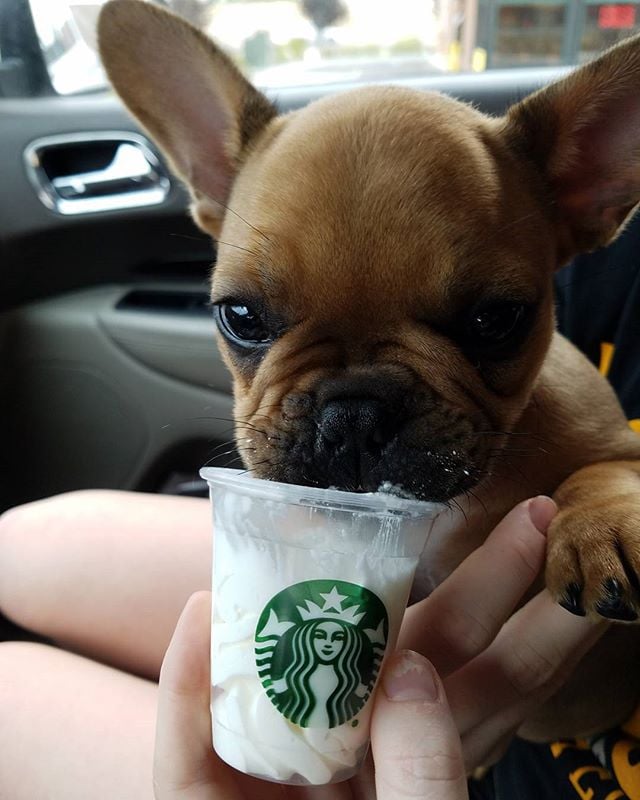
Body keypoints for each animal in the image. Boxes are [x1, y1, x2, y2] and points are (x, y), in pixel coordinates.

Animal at [96, 0, 640, 736]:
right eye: (240, 316)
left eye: (497, 319)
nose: (353, 412)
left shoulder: (615, 442)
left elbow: (607, 472)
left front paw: (599, 527)